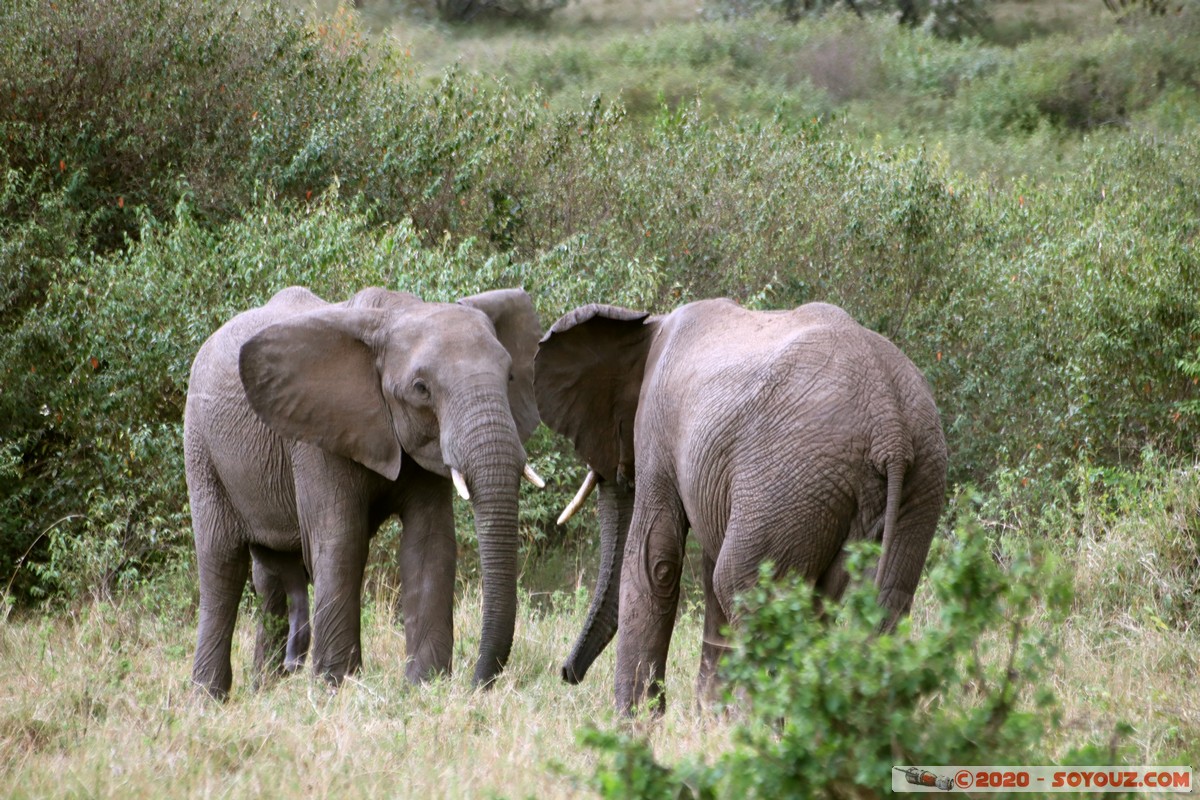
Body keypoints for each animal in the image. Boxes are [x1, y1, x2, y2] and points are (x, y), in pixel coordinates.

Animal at [184, 285, 543, 699]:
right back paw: (208, 699)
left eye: (510, 376)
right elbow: (341, 541)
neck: (396, 312)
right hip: (201, 448)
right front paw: (335, 687)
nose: (476, 684)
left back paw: (266, 689)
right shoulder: (316, 434)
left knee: (269, 579)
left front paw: (424, 685)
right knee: (222, 565)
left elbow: (430, 543)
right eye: (421, 389)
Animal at [535, 299, 947, 714]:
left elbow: (655, 562)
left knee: (740, 582)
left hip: (789, 477)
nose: (566, 674)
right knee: (886, 601)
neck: (647, 325)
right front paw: (707, 716)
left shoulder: (656, 430)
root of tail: (890, 427)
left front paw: (634, 723)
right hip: (917, 479)